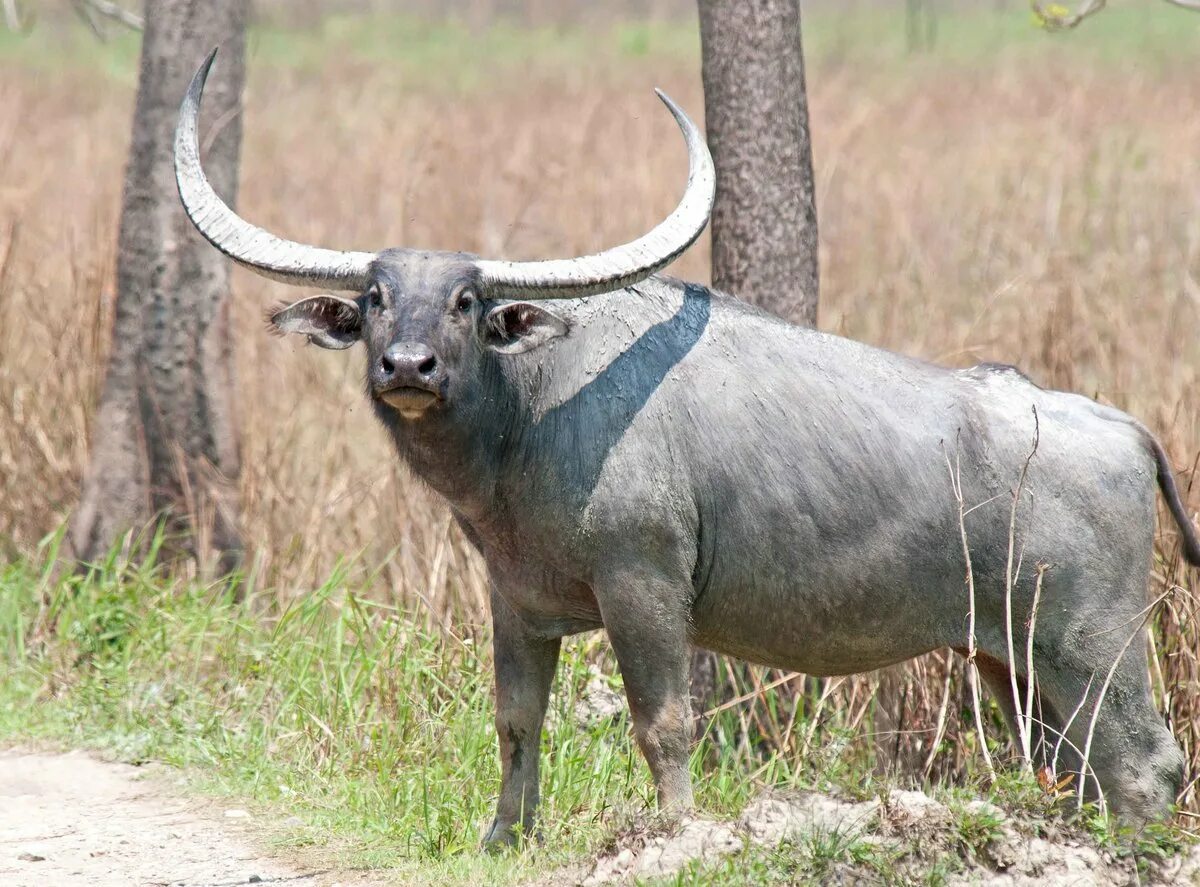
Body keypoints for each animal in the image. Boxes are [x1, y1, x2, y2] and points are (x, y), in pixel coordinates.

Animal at [174, 51, 1195, 844]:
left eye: (465, 300)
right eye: (377, 295)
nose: (408, 367)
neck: (532, 415)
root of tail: (1124, 429)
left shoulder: (644, 587)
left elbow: (661, 721)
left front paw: (673, 827)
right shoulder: (516, 602)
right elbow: (515, 720)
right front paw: (505, 834)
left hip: (1089, 637)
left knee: (1145, 761)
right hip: (1007, 656)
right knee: (1077, 760)